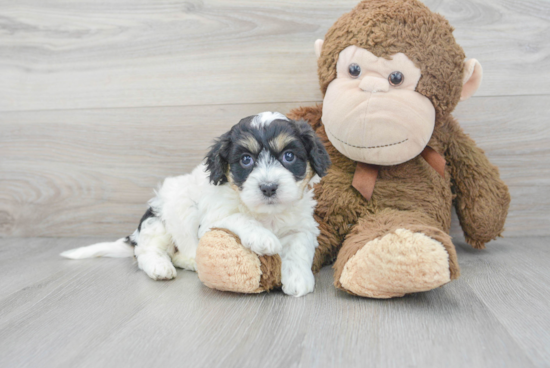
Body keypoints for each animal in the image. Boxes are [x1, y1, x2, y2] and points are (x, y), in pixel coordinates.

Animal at [63, 111, 334, 296]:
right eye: (246, 160)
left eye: (289, 156)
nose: (268, 187)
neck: (266, 214)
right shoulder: (213, 219)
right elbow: (238, 217)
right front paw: (262, 237)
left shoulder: (303, 226)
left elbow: (299, 248)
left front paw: (298, 279)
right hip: (162, 219)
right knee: (146, 251)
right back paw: (161, 266)